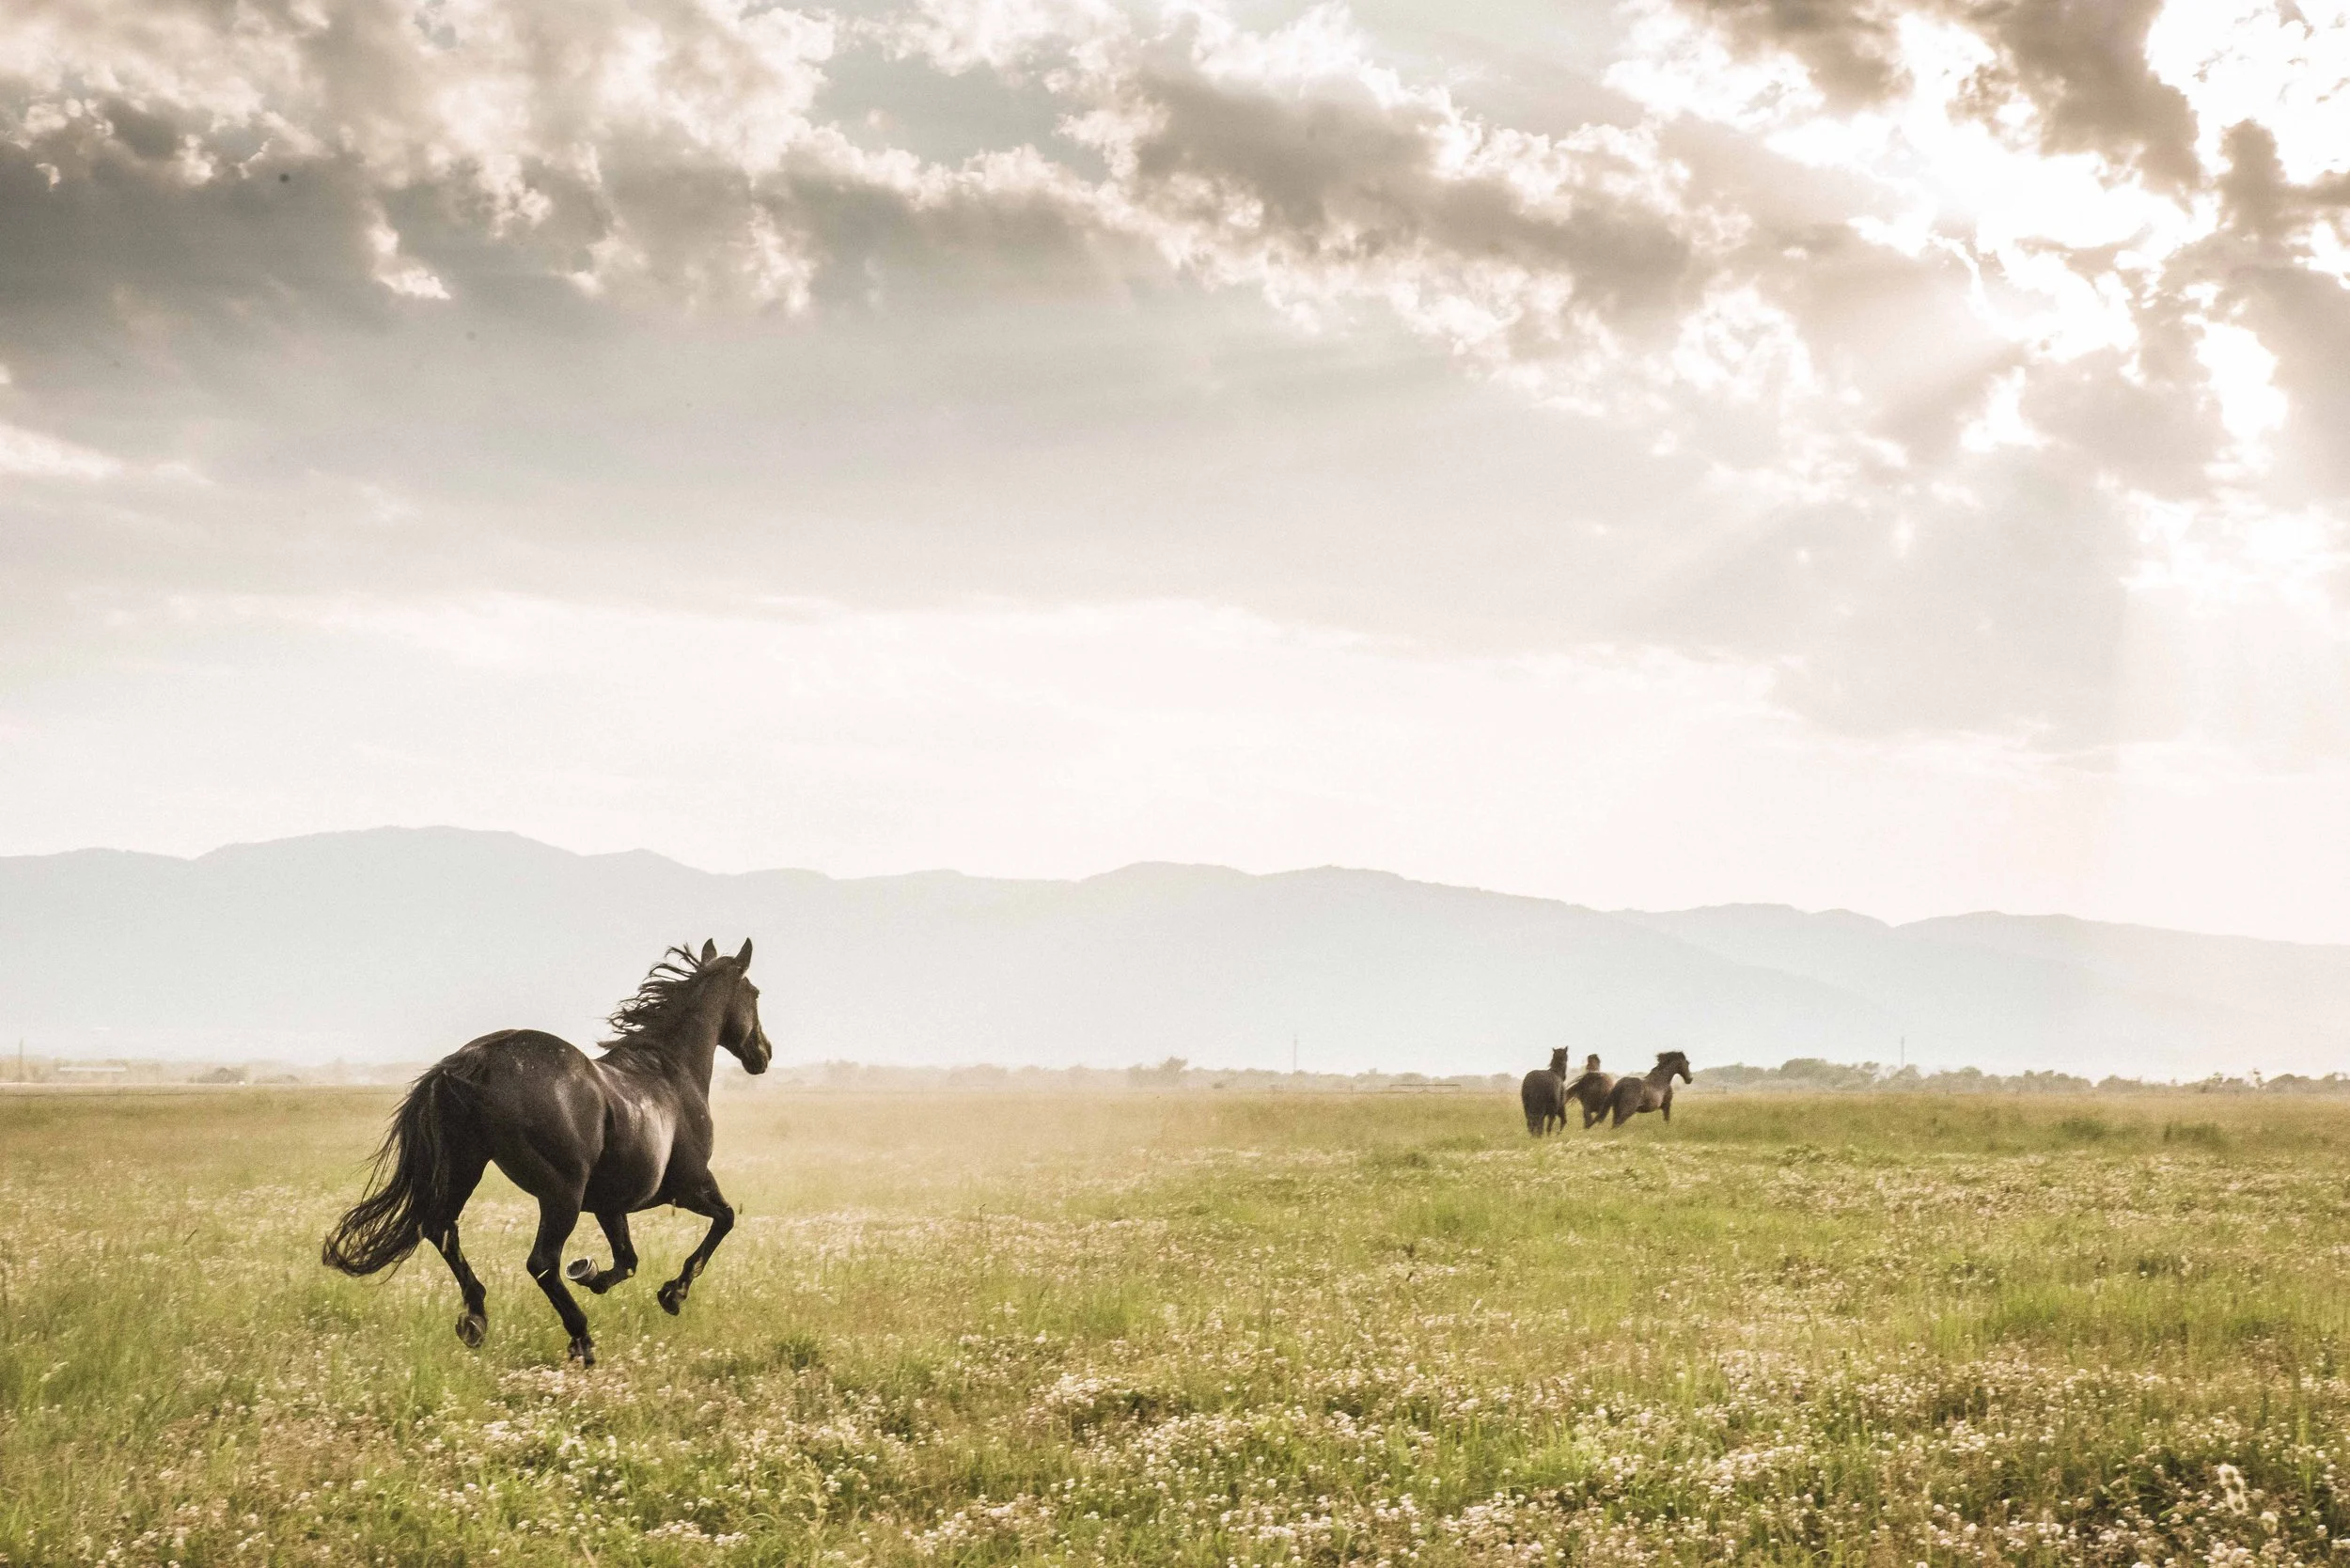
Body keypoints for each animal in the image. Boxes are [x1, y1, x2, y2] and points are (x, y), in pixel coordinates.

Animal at [322, 938, 772, 1367]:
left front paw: (592, 1275)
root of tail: (471, 1061)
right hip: (561, 1193)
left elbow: (627, 1260)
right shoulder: (689, 1187)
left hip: (466, 1169)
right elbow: (724, 1220)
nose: (763, 1055)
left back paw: (475, 1319)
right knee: (540, 1261)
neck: (670, 1074)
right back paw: (581, 1338)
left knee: (441, 1230)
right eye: (754, 993)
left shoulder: (611, 1204)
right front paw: (672, 1294)